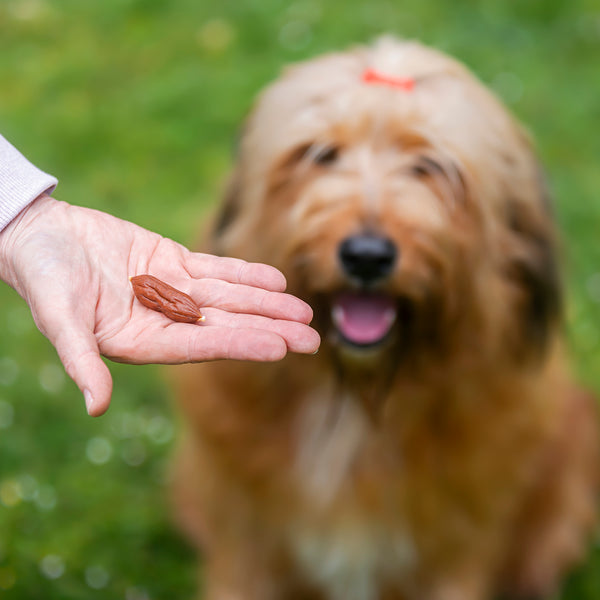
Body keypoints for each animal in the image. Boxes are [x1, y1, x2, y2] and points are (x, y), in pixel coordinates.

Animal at [171, 37, 596, 600]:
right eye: (321, 154)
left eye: (432, 166)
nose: (367, 257)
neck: (358, 400)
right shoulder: (247, 539)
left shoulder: (457, 550)